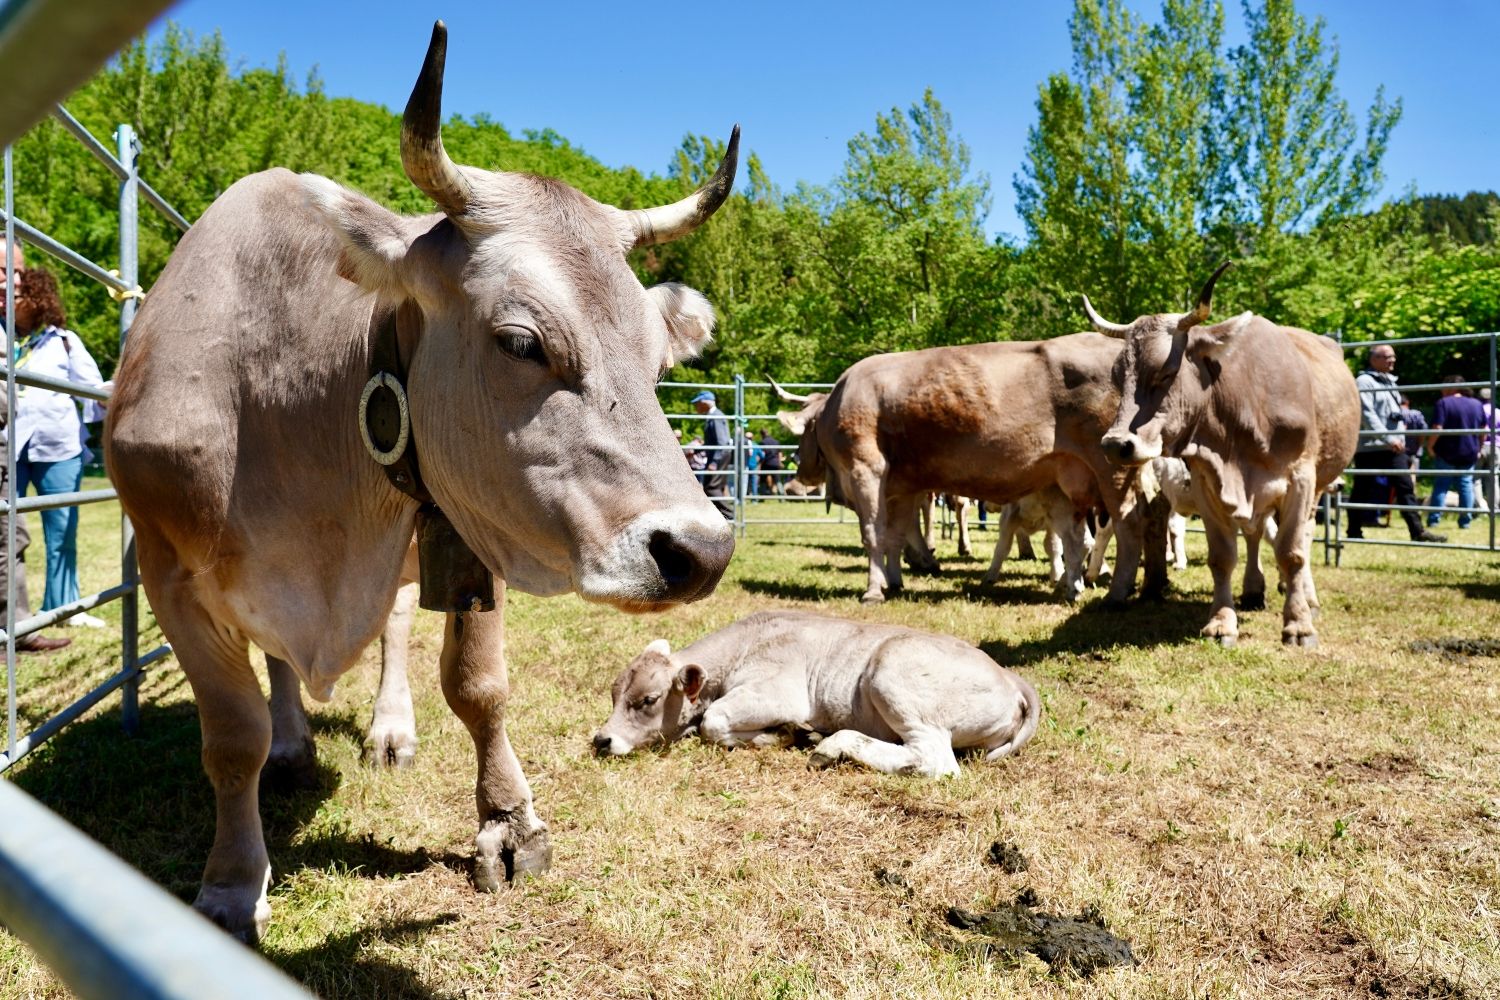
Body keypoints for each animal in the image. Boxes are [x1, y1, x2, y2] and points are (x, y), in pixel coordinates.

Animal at [105, 23, 738, 947]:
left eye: (660, 358)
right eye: (520, 340)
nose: (702, 549)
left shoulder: (471, 533)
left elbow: (478, 689)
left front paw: (508, 823)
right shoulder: (169, 573)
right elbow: (231, 736)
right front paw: (230, 883)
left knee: (396, 629)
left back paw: (389, 730)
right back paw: (294, 744)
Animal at [591, 611, 1038, 779]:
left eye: (648, 700)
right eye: (614, 694)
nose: (601, 740)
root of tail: (1009, 675)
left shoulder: (777, 693)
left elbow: (712, 722)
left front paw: (783, 733)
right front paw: (791, 732)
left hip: (891, 673)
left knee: (933, 760)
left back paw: (831, 746)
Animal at [768, 338, 1152, 602]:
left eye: (802, 434)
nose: (796, 478)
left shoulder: (867, 470)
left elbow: (873, 533)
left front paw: (873, 590)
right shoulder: (901, 486)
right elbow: (896, 535)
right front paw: (895, 581)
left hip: (1112, 469)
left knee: (1128, 525)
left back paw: (1117, 592)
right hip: (1069, 477)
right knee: (1077, 536)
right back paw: (1073, 588)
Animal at [1092, 262, 1362, 650]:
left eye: (1166, 372)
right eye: (1117, 377)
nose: (1116, 444)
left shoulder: (1300, 478)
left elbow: (1292, 552)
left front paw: (1299, 626)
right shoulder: (1207, 481)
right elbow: (1222, 557)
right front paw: (1221, 623)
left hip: (1319, 486)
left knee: (1304, 539)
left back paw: (1307, 599)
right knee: (1253, 534)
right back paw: (1252, 590)